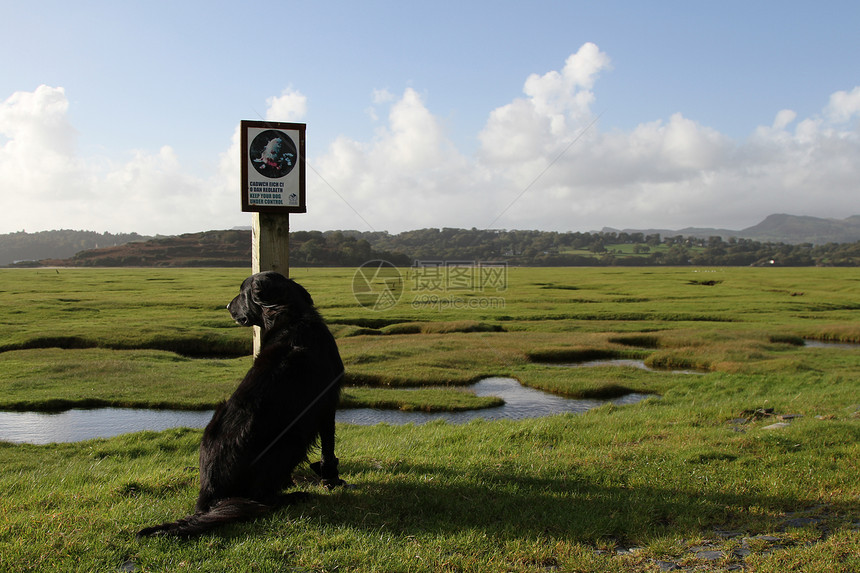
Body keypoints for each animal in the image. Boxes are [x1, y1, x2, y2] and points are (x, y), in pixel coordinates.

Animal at [136, 272, 344, 536]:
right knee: (262, 498)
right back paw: (294, 496)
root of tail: (209, 494)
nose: (226, 306)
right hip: (289, 441)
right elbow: (329, 449)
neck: (293, 318)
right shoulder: (327, 404)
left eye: (242, 292)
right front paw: (332, 480)